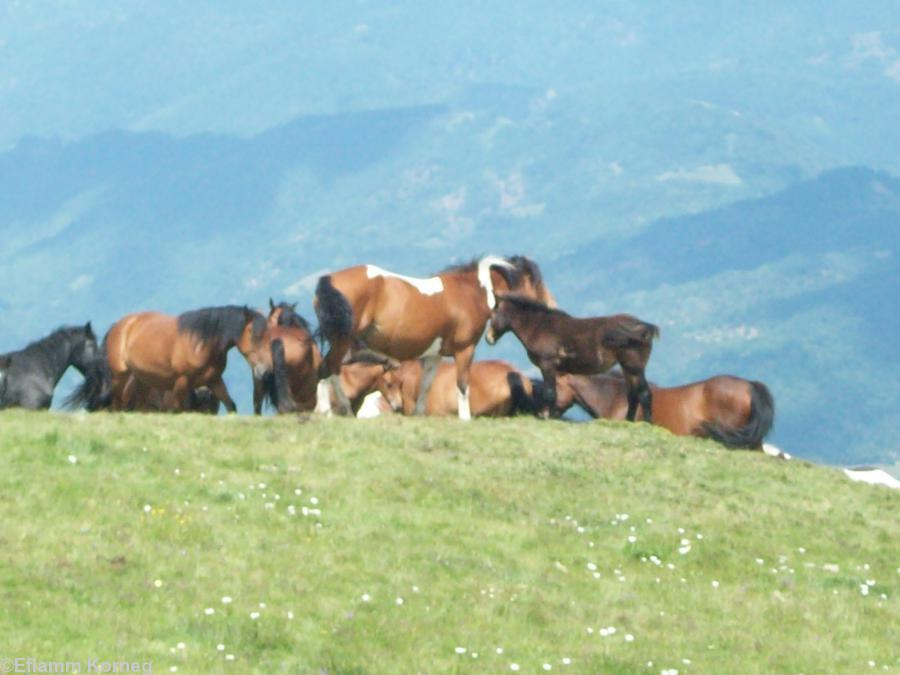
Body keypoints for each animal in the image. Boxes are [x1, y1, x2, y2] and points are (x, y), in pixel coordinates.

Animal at [488, 298, 656, 422]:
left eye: (494, 314)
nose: (488, 338)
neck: (540, 327)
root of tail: (644, 327)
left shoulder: (547, 364)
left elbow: (550, 392)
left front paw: (549, 418)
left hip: (634, 367)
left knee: (644, 393)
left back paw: (647, 423)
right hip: (627, 368)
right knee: (633, 394)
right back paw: (628, 421)